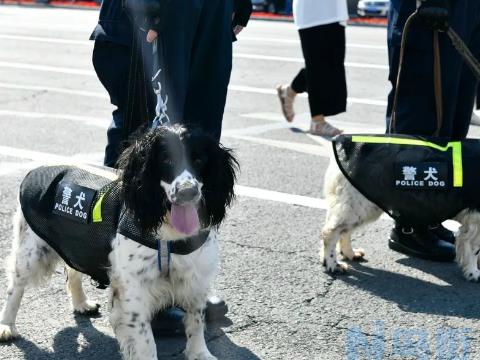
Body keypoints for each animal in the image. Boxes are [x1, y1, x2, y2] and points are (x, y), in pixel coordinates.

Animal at [0, 124, 238, 360]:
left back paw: (81, 303)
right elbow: (146, 343)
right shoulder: (133, 292)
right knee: (15, 287)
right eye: (167, 160)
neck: (169, 236)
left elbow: (196, 323)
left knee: (73, 270)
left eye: (199, 160)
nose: (187, 192)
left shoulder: (196, 279)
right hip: (29, 252)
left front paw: (200, 354)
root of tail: (39, 168)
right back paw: (6, 326)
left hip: (78, 242)